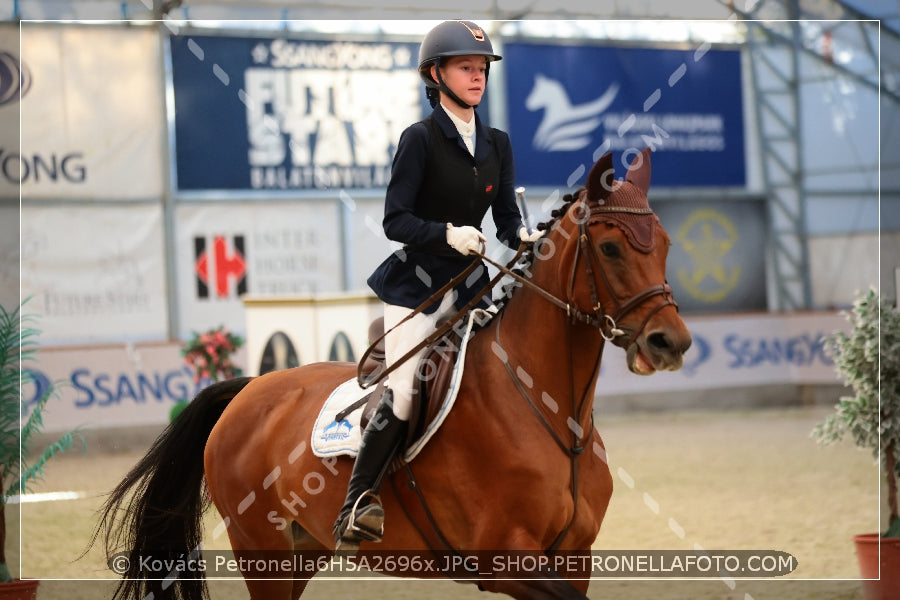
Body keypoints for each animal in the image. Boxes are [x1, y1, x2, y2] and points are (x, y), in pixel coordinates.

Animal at [93, 148, 688, 596]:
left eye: (664, 245)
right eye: (609, 247)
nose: (672, 342)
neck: (550, 408)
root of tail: (250, 390)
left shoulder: (575, 556)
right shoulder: (506, 561)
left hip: (302, 550)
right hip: (262, 551)